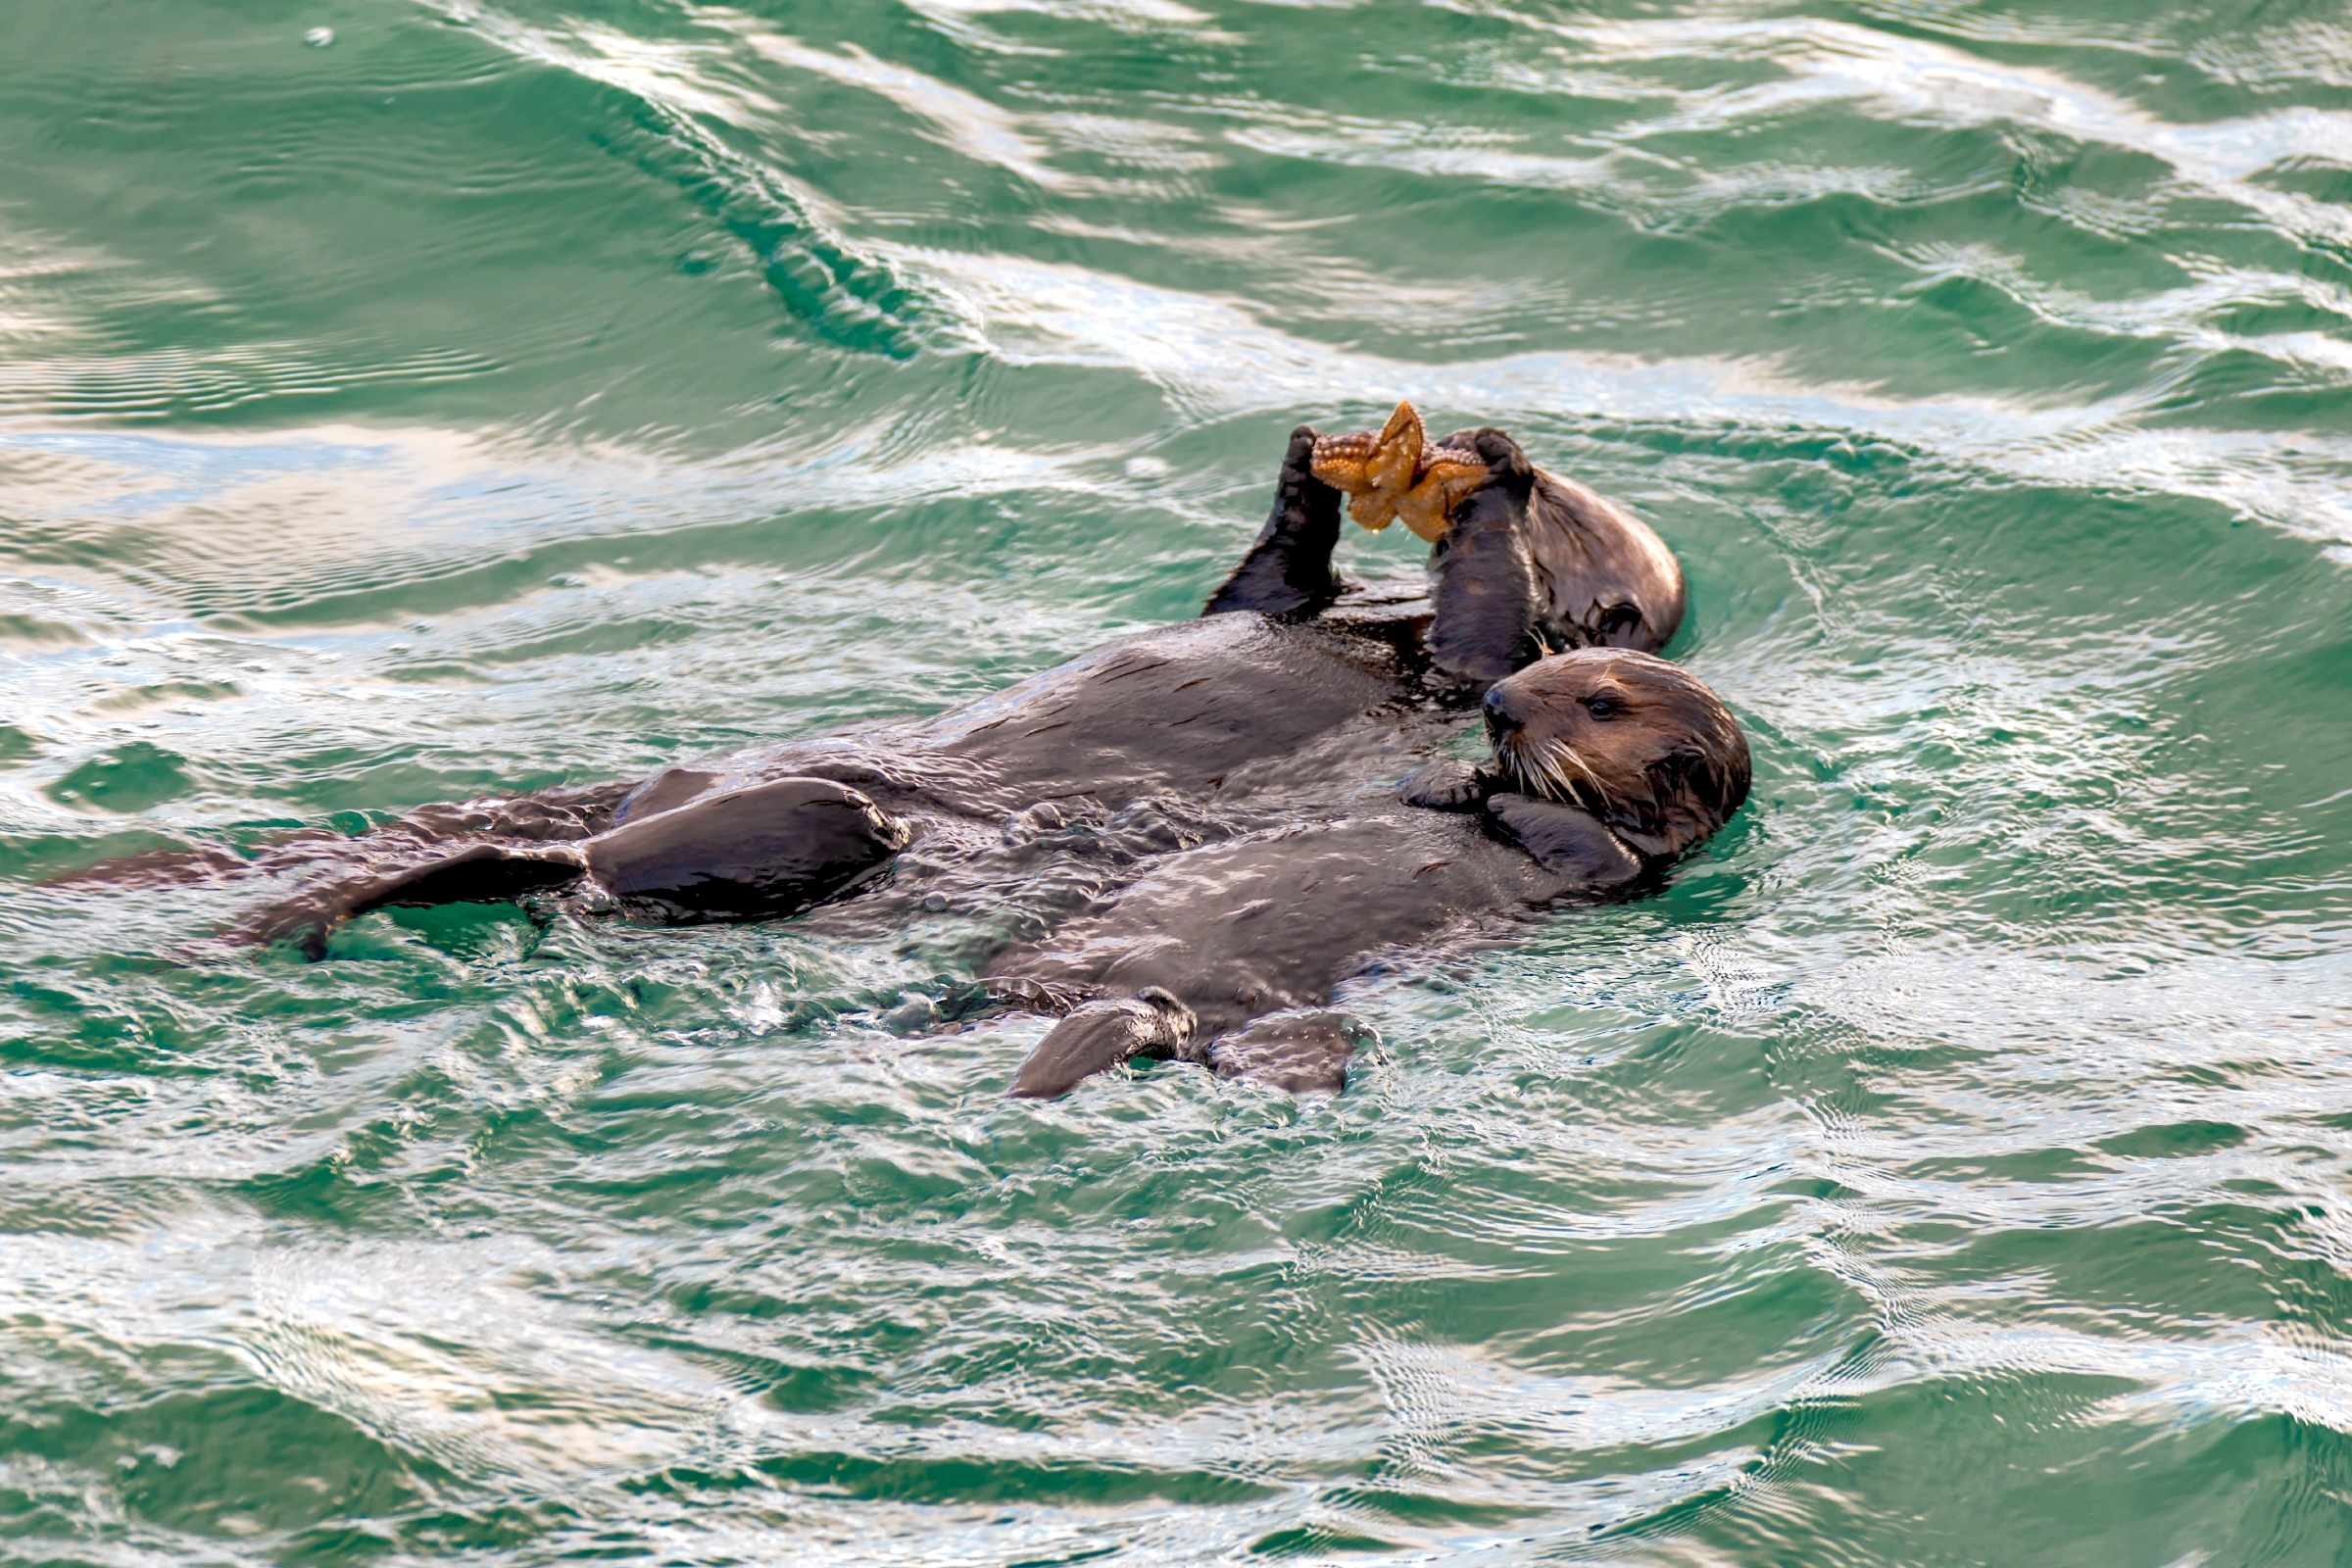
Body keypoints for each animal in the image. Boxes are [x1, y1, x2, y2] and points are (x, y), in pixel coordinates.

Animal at [55, 411, 1686, 956]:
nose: (1496, 438)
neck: (1383, 641)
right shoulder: (1301, 615)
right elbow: (1258, 592)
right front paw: (1308, 464)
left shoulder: (1468, 673)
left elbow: (1487, 630)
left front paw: (1489, 488)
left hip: (829, 826)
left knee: (594, 865)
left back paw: (334, 906)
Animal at [991, 648, 1750, 1098]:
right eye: (1550, 659)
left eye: (1601, 705)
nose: (1496, 703)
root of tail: (1132, 995)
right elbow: (1423, 784)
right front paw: (1457, 780)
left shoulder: (1629, 867)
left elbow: (1591, 841)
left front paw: (1504, 797)